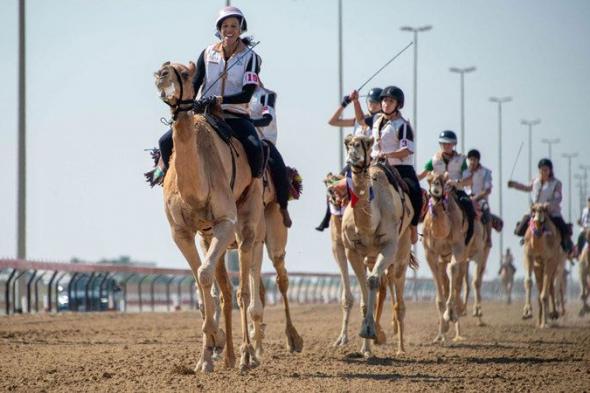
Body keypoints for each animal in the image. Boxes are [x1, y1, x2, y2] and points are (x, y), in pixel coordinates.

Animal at [153, 61, 266, 370]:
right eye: (165, 67)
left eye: (185, 72)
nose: (161, 75)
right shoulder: (181, 232)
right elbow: (201, 284)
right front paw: (206, 355)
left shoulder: (225, 222)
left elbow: (204, 276)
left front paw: (215, 346)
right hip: (209, 235)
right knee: (225, 290)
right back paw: (228, 355)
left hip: (248, 221)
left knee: (244, 289)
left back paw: (246, 355)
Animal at [340, 135, 414, 356]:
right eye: (348, 143)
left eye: (365, 142)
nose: (353, 157)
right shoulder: (352, 250)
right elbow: (365, 294)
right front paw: (366, 346)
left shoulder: (389, 246)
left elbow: (372, 281)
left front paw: (370, 331)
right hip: (370, 257)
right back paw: (370, 347)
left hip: (402, 250)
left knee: (398, 298)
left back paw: (401, 349)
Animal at [424, 172, 488, 340]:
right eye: (429, 179)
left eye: (443, 179)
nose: (436, 186)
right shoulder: (430, 254)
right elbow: (440, 286)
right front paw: (441, 332)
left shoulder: (458, 248)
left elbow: (453, 271)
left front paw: (450, 314)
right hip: (449, 258)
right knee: (452, 280)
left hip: (476, 251)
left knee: (468, 279)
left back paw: (465, 313)